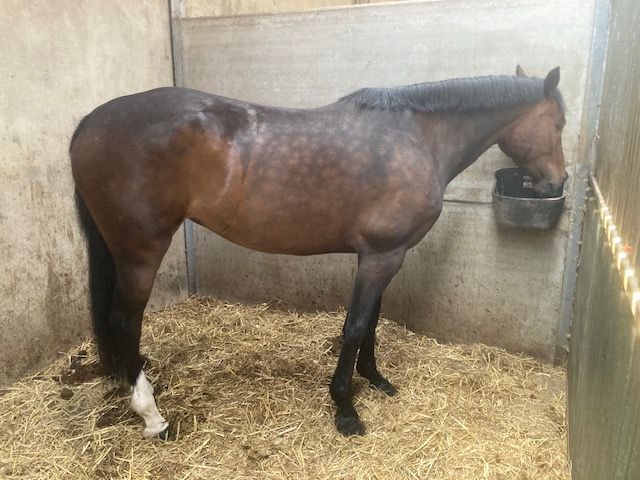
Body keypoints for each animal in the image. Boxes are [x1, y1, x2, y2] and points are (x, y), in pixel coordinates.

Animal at [70, 66, 566, 438]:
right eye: (559, 123)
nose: (556, 182)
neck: (417, 139)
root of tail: (90, 122)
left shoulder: (383, 254)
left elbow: (372, 321)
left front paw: (375, 379)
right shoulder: (383, 255)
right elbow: (354, 326)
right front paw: (345, 409)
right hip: (140, 252)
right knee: (125, 322)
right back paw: (152, 416)